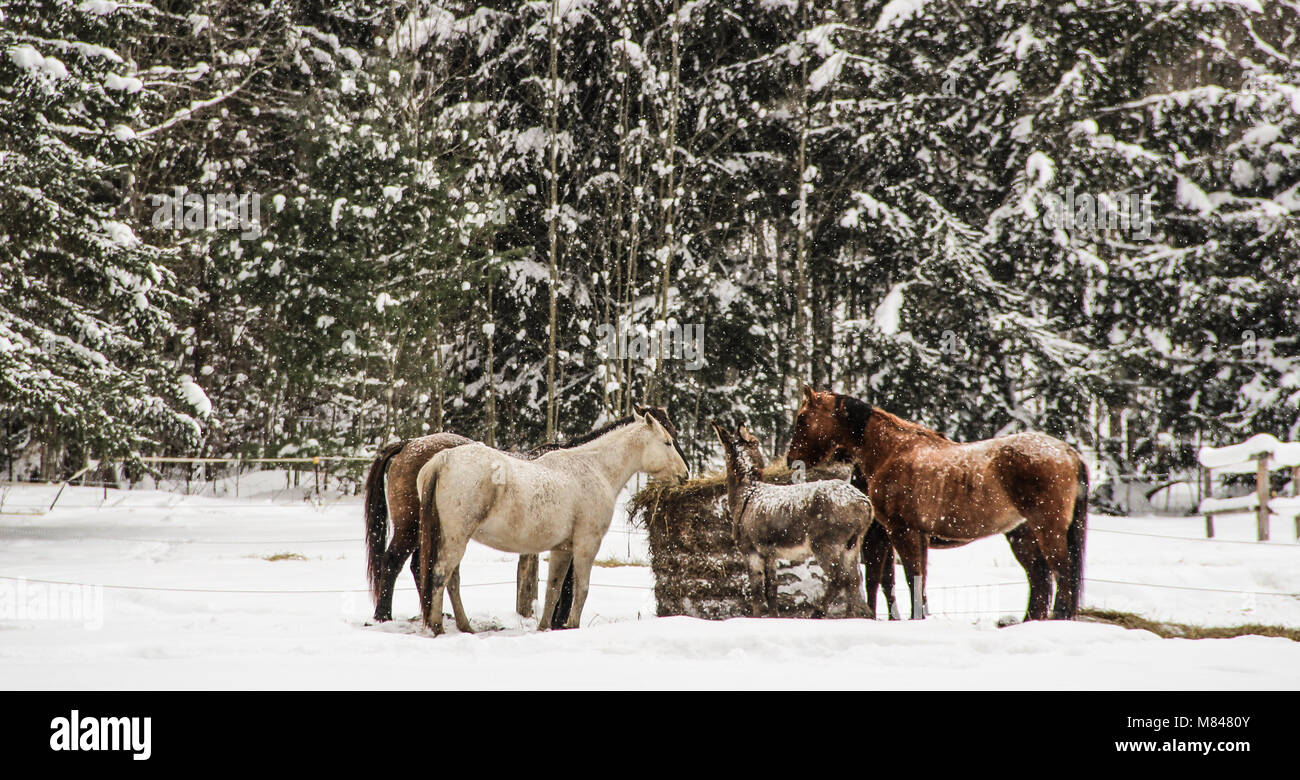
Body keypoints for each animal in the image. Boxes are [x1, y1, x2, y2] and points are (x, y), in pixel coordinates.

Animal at [362, 407, 684, 629]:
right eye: (668, 441)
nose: (685, 473)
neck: (592, 467)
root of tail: (438, 458)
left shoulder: (562, 548)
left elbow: (554, 588)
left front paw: (546, 627)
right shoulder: (585, 544)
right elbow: (579, 589)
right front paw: (571, 626)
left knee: (442, 576)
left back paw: (459, 624)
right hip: (441, 536)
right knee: (426, 571)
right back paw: (419, 623)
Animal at [713, 422, 873, 619]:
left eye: (756, 441)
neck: (745, 495)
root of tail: (866, 505)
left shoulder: (750, 549)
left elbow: (757, 591)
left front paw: (757, 617)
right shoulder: (770, 552)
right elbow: (771, 589)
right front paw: (774, 616)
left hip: (826, 541)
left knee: (839, 577)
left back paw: (817, 612)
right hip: (853, 544)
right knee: (853, 580)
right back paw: (850, 616)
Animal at [787, 386, 1088, 621]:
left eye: (802, 419)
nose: (792, 461)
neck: (893, 451)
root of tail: (1068, 453)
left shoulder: (900, 531)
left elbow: (907, 577)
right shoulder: (914, 535)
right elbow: (912, 581)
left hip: (1047, 530)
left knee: (1062, 576)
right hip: (1023, 535)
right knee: (1041, 581)